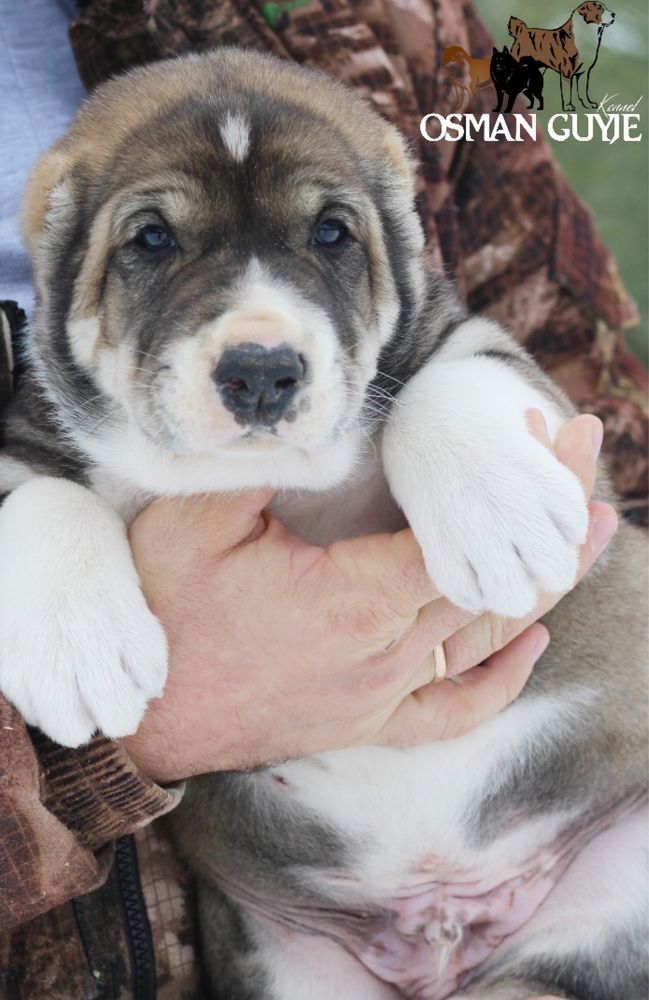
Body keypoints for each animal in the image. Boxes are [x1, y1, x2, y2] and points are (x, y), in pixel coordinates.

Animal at [1, 48, 648, 1000]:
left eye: (332, 234)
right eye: (151, 239)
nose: (261, 372)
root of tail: (441, 929)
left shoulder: (483, 348)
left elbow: (451, 378)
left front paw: (503, 518)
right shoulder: (32, 427)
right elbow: (36, 497)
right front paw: (76, 649)